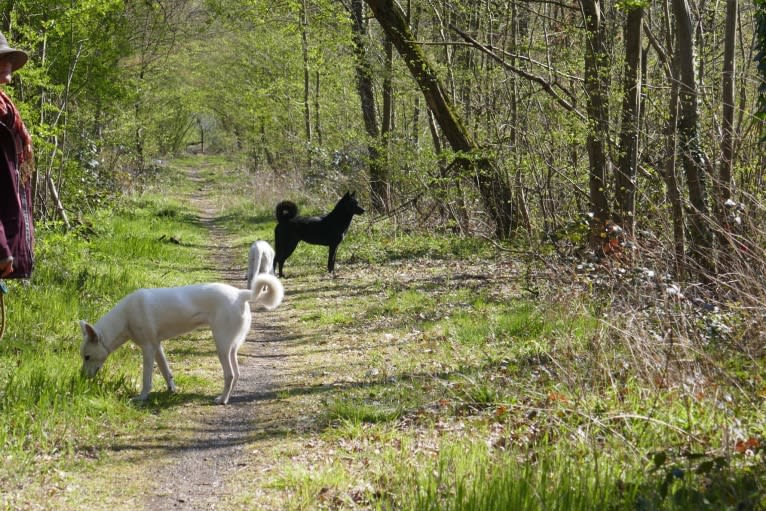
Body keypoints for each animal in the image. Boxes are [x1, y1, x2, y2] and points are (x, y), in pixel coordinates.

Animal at [79, 274, 284, 406]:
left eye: (87, 357)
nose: (80, 378)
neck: (125, 318)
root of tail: (241, 294)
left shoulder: (147, 349)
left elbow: (146, 378)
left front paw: (142, 398)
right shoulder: (157, 347)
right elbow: (165, 371)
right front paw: (171, 389)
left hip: (222, 347)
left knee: (230, 374)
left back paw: (222, 400)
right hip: (231, 347)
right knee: (237, 374)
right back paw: (226, 398)